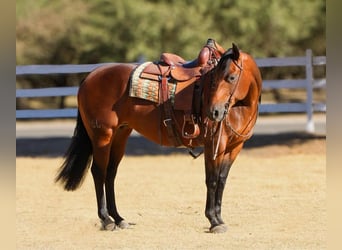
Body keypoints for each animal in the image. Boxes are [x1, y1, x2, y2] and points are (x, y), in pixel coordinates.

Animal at [55, 39, 262, 232]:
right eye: (213, 80)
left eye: (231, 77)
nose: (215, 112)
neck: (239, 107)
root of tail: (90, 76)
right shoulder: (214, 146)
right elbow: (211, 180)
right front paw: (213, 221)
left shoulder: (234, 148)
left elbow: (222, 180)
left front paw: (219, 218)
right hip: (102, 136)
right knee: (99, 172)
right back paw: (106, 220)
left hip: (119, 136)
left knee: (111, 174)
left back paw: (119, 218)